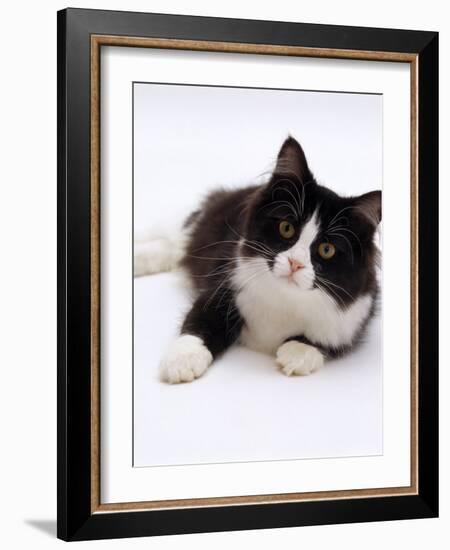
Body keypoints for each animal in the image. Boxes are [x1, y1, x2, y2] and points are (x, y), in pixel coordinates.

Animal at [135, 137, 382, 384]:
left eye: (327, 249)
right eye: (286, 228)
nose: (295, 263)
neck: (286, 297)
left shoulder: (352, 320)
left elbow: (326, 341)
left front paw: (298, 352)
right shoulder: (223, 286)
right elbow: (200, 322)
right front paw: (183, 360)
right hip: (191, 230)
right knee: (170, 243)